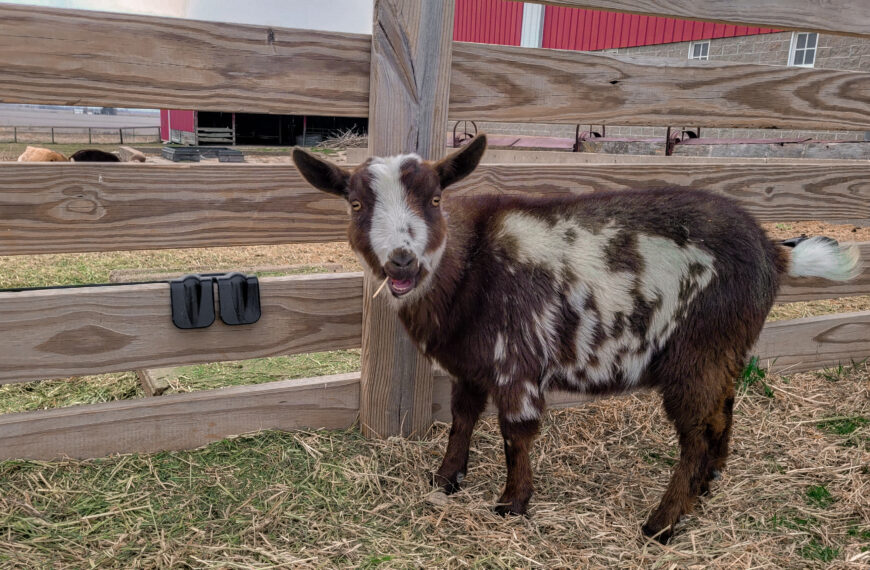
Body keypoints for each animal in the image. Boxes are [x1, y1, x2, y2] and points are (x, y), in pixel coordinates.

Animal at [292, 134, 860, 540]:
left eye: (434, 198)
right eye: (356, 204)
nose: (402, 261)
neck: (470, 266)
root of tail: (773, 251)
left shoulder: (516, 358)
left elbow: (516, 434)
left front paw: (512, 505)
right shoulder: (472, 365)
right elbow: (461, 420)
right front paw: (446, 479)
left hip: (698, 350)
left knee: (697, 433)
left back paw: (662, 524)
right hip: (728, 349)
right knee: (724, 409)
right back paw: (709, 484)